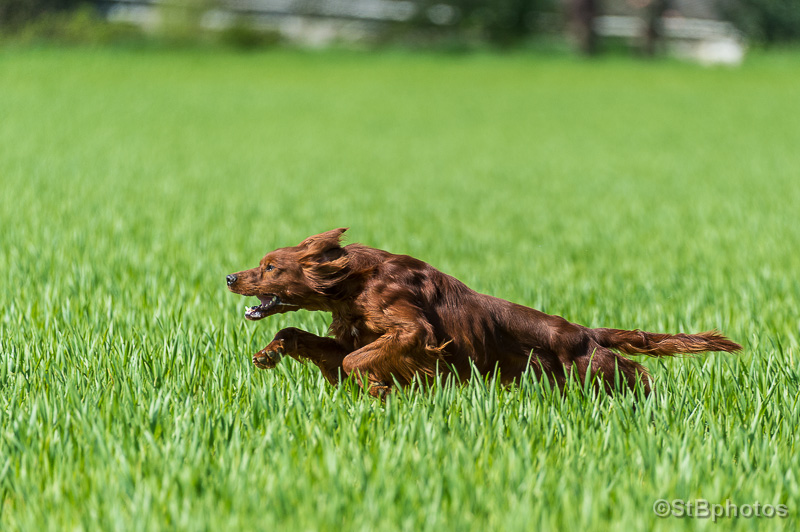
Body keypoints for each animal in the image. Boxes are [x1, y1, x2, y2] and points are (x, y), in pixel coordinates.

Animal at [225, 229, 736, 394]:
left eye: (270, 267)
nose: (230, 277)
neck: (353, 279)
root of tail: (585, 332)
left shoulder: (412, 330)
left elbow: (355, 360)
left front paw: (376, 389)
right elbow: (303, 336)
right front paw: (268, 354)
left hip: (594, 370)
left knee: (635, 379)